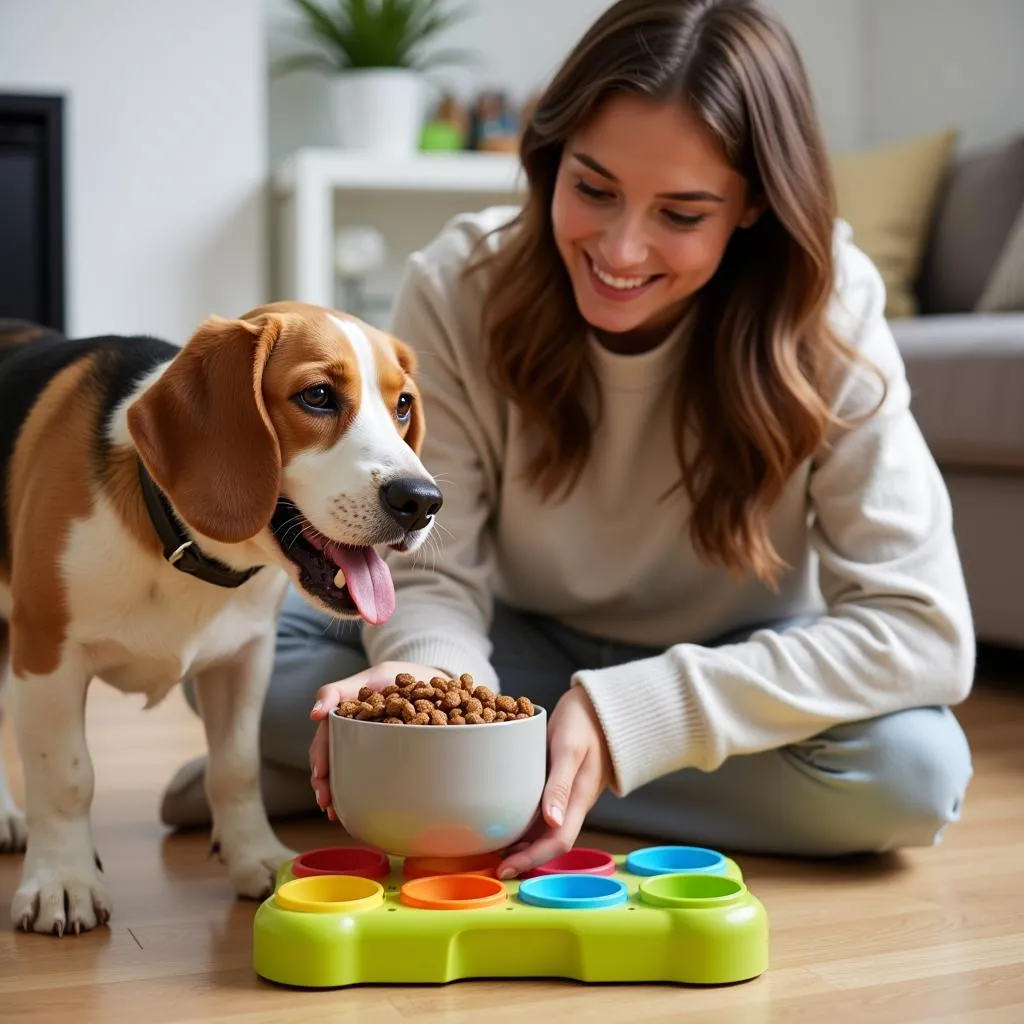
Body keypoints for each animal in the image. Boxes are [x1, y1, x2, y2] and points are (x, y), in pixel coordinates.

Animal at [0, 301, 438, 937]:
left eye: (403, 404)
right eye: (317, 396)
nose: (422, 501)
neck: (184, 546)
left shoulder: (245, 658)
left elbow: (235, 769)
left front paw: (253, 855)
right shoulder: (47, 656)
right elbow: (66, 775)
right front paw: (63, 880)